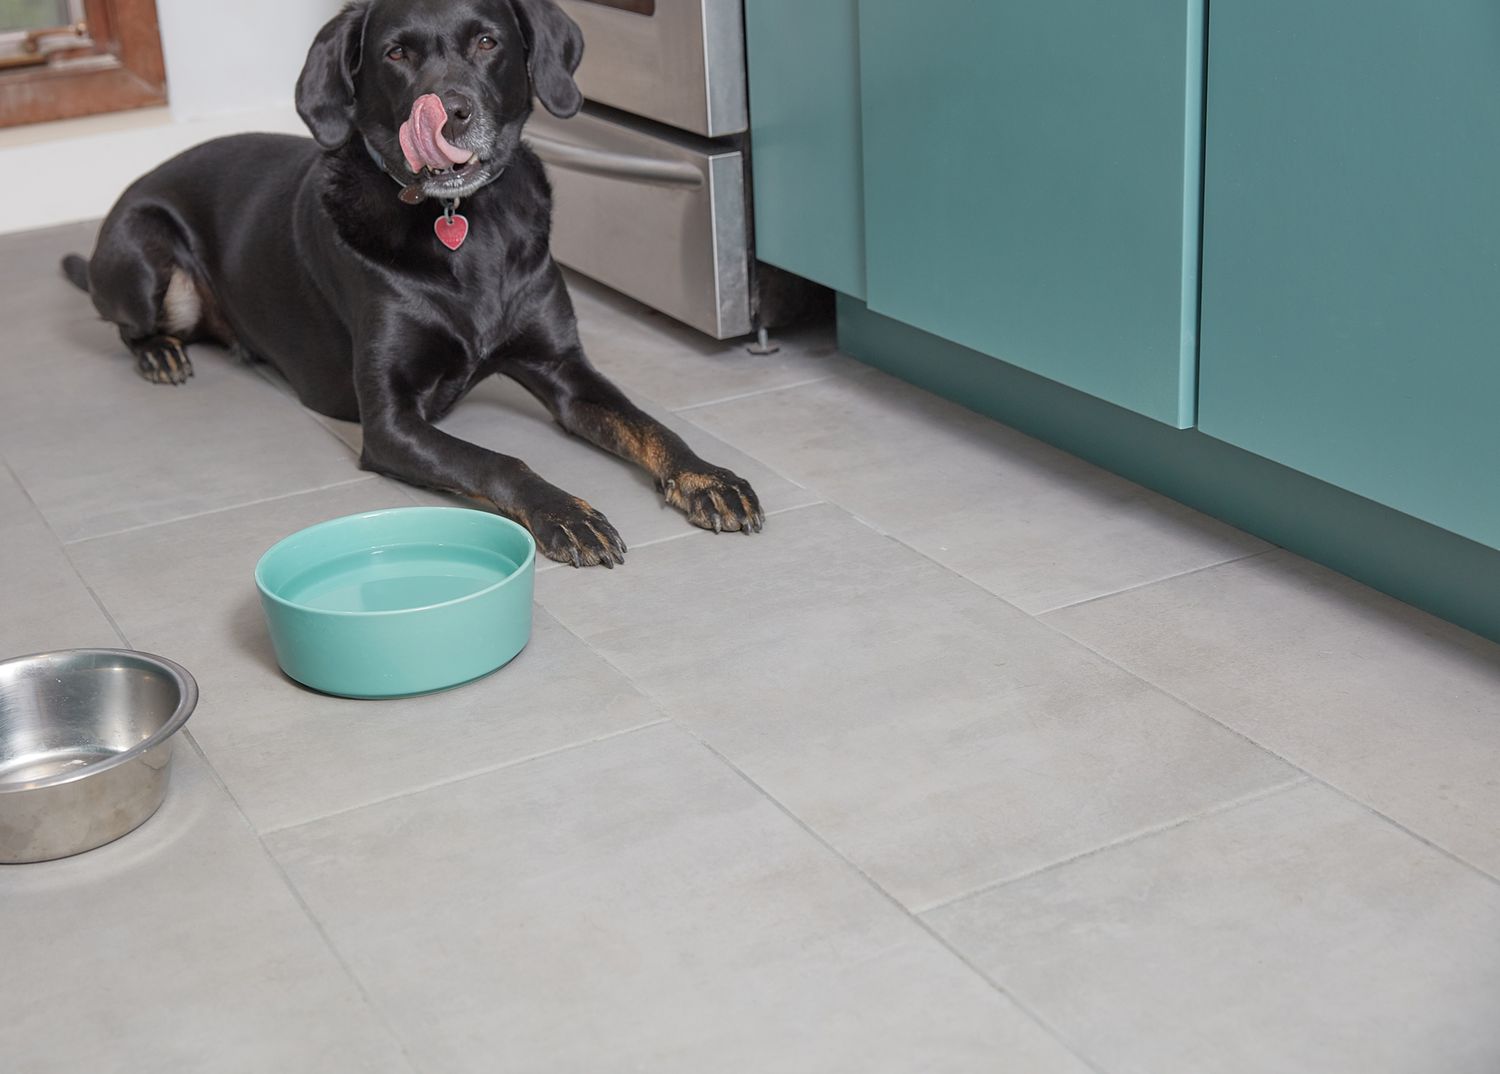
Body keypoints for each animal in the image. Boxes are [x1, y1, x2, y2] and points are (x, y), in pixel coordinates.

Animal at [61, 0, 762, 570]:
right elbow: (496, 459)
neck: (463, 223)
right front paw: (564, 513)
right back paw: (159, 353)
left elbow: (649, 425)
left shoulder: (564, 368)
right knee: (129, 324)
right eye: (396, 53)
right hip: (143, 253)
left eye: (487, 42)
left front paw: (707, 478)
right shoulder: (390, 423)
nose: (451, 113)